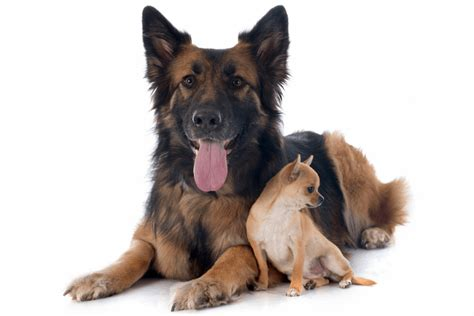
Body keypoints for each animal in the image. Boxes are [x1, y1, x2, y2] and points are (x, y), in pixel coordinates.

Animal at [64, 5, 408, 312]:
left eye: (237, 82)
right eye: (188, 81)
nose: (206, 120)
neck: (205, 195)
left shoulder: (263, 247)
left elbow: (234, 255)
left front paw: (204, 284)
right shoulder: (150, 236)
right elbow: (133, 255)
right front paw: (98, 277)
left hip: (341, 153)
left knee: (384, 206)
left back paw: (375, 233)